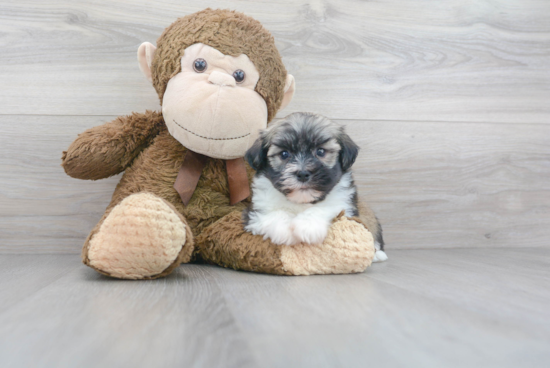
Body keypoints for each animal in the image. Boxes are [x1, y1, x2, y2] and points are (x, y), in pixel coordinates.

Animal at [244, 111, 390, 262]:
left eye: (320, 151)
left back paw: (377, 254)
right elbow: (274, 213)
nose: (302, 174)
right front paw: (284, 230)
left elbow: (326, 207)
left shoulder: (344, 203)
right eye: (284, 154)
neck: (302, 201)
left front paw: (308, 225)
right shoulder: (257, 209)